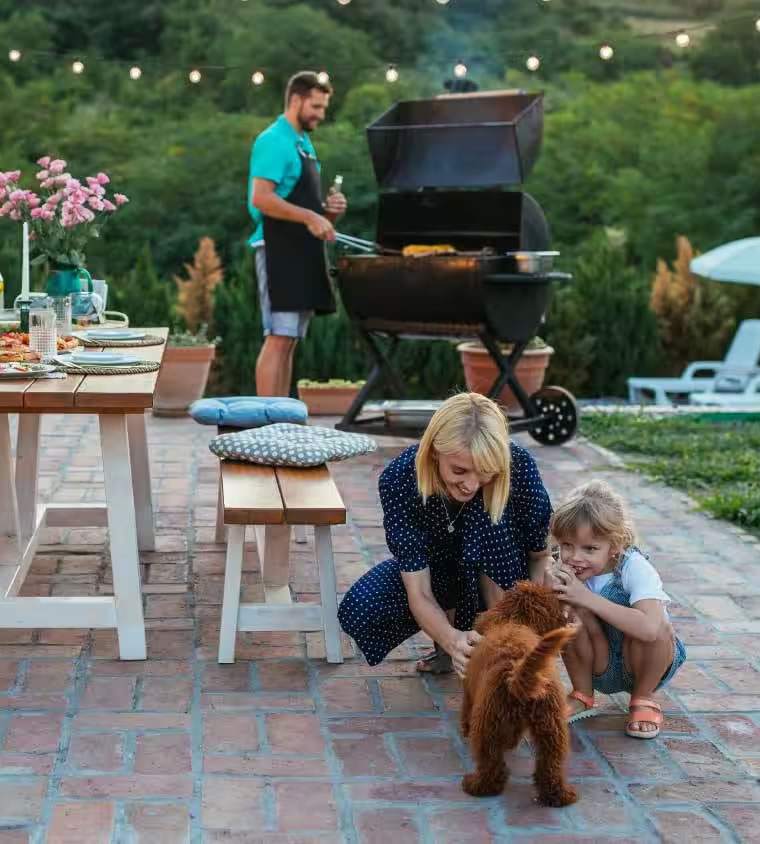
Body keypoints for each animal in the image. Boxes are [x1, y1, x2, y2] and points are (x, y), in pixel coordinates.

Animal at [460, 580, 580, 804]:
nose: (565, 619)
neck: (514, 620)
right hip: (552, 726)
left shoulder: (470, 694)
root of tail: (517, 672)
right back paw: (560, 795)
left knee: (491, 764)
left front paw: (464, 728)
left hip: (486, 724)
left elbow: (465, 710)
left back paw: (476, 785)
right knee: (551, 764)